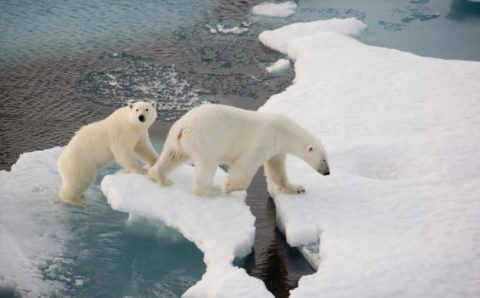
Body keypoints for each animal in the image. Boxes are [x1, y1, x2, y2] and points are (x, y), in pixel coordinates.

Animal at [147, 103, 330, 197]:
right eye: (323, 159)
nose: (327, 172)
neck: (282, 131)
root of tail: (183, 127)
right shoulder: (264, 138)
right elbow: (246, 165)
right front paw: (228, 186)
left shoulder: (276, 149)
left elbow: (277, 170)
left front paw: (298, 188)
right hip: (206, 140)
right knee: (207, 164)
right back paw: (212, 189)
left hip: (176, 139)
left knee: (172, 156)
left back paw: (159, 177)